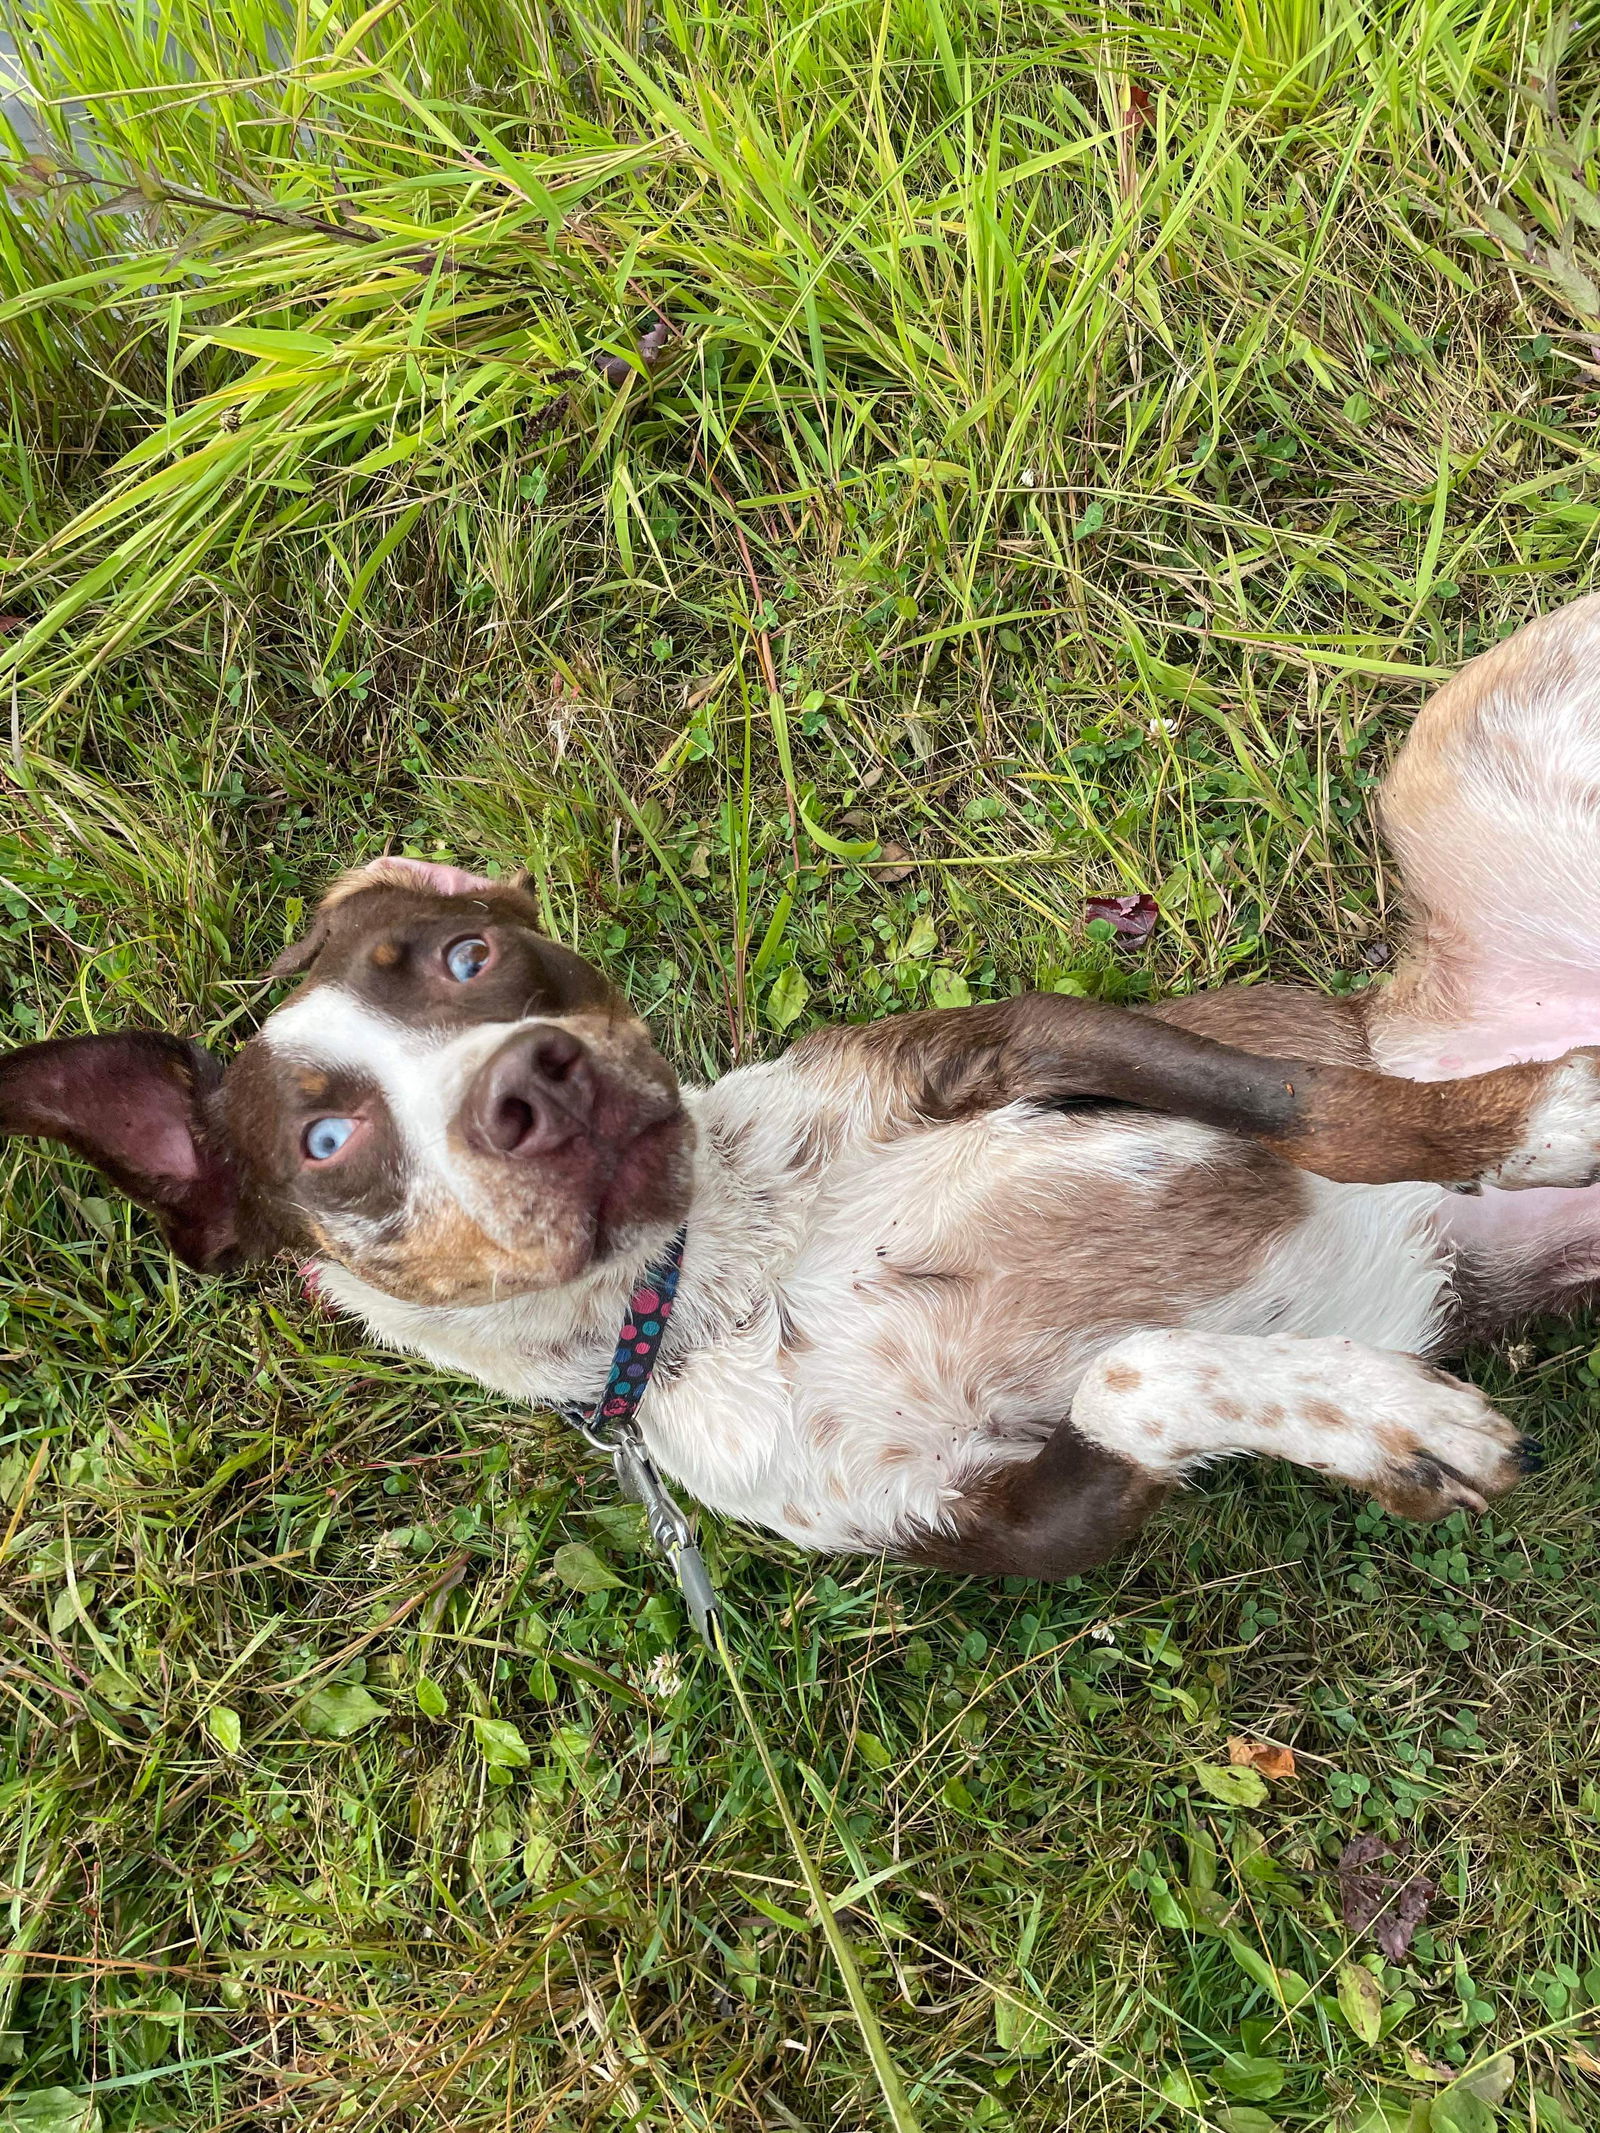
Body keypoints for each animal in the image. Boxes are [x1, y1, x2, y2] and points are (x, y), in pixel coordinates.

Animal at [9, 592, 1600, 1578]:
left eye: (471, 956)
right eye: (331, 1141)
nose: (535, 1078)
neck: (727, 1274)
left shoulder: (1030, 1045)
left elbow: (1327, 1109)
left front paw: (1532, 1119)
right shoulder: (998, 1518)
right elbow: (1132, 1374)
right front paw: (1381, 1423)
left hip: (1463, 754)